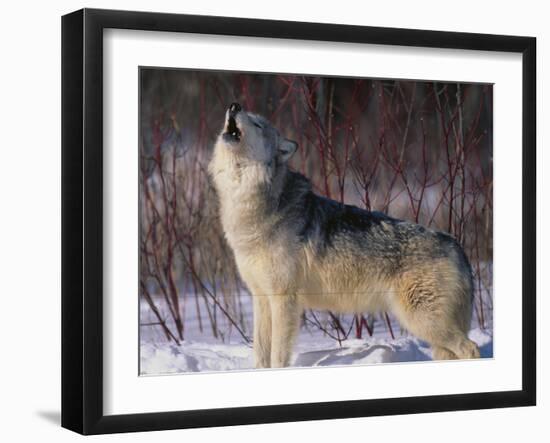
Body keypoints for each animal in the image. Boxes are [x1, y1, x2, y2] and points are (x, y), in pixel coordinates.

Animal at [209, 103, 480, 368]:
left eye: (257, 124)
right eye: (247, 114)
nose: (234, 106)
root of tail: (458, 246)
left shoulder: (284, 299)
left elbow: (277, 357)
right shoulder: (261, 298)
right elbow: (261, 355)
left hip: (423, 321)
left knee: (471, 348)